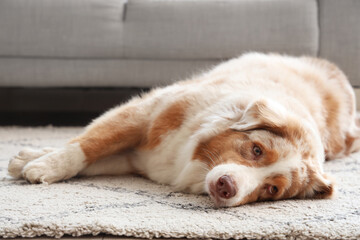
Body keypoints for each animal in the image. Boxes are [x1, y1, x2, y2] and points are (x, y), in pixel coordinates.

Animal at [6, 53, 360, 207]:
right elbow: (88, 145)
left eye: (272, 189)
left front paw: (37, 162)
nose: (227, 187)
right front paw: (44, 164)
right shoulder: (147, 114)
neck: (192, 160)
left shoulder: (141, 159)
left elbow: (95, 159)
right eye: (257, 150)